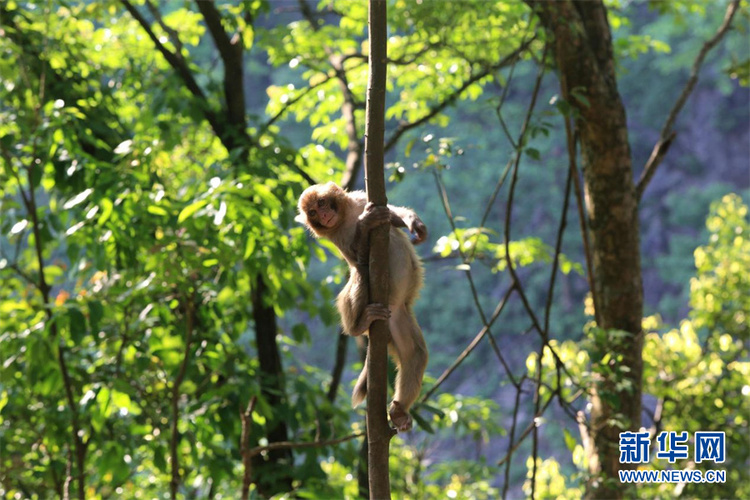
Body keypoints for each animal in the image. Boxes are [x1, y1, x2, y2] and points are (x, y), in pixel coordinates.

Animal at [298, 182, 432, 432]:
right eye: (312, 212)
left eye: (321, 203)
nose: (323, 215)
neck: (345, 217)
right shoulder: (337, 236)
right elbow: (357, 258)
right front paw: (364, 224)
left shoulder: (362, 199)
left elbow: (390, 216)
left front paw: (413, 221)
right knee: (360, 273)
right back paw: (359, 325)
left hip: (397, 317)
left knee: (415, 354)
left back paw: (400, 411)